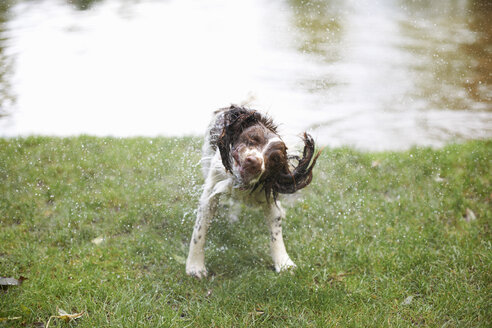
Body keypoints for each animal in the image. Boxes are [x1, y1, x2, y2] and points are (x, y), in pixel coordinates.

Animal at [184, 104, 320, 276]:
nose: (253, 162)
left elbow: (276, 233)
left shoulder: (268, 197)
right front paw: (195, 266)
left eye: (274, 159)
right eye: (252, 138)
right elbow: (199, 232)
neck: (240, 184)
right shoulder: (211, 192)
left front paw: (284, 263)